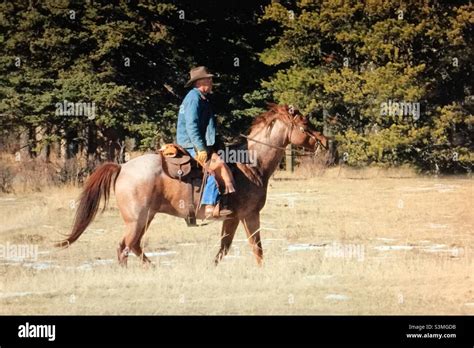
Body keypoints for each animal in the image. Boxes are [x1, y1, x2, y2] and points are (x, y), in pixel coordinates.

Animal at [55, 104, 328, 266]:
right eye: (305, 124)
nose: (324, 141)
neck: (252, 164)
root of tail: (123, 167)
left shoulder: (233, 218)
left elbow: (225, 248)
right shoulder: (250, 215)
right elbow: (256, 247)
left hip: (145, 218)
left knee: (129, 246)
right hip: (137, 219)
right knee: (127, 246)